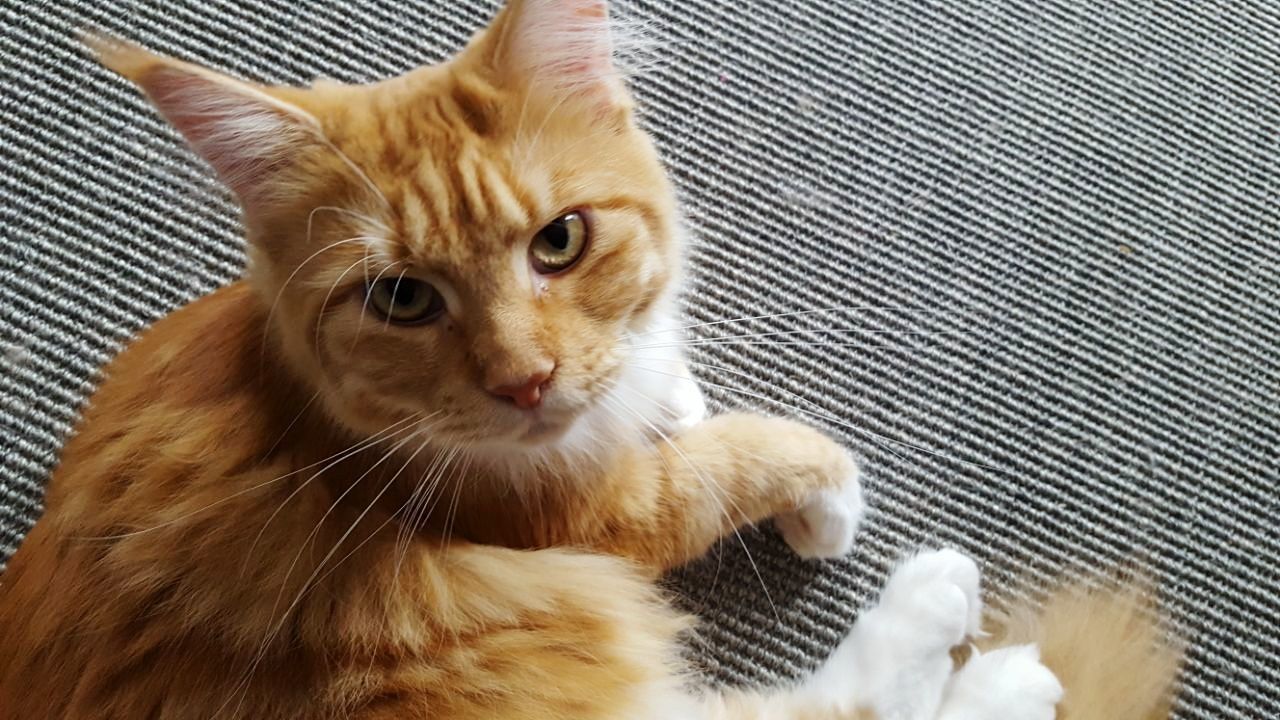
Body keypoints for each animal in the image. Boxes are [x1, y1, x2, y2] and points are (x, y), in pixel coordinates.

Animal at [0, 2, 1177, 712]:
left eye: (558, 242)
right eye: (401, 297)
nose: (525, 382)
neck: (318, 420)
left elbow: (659, 377)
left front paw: (664, 386)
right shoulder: (591, 518)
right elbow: (741, 458)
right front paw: (821, 496)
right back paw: (979, 656)